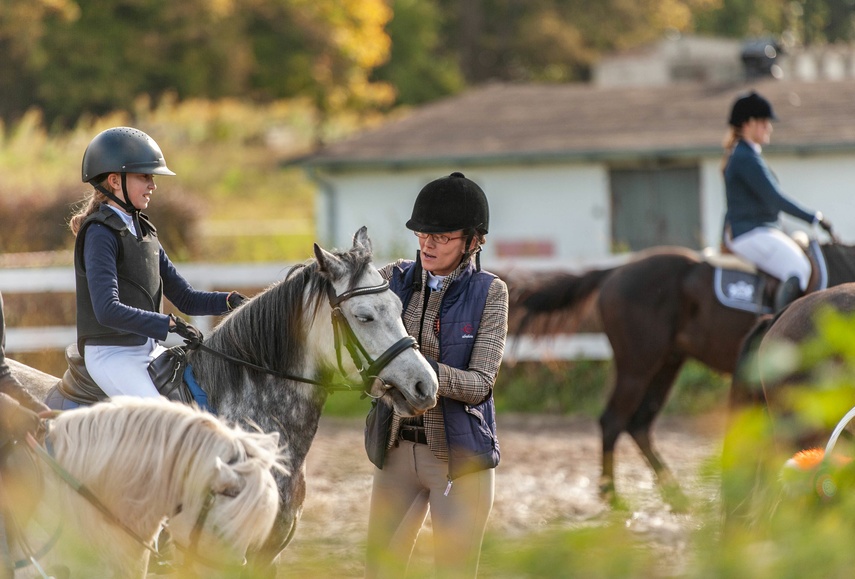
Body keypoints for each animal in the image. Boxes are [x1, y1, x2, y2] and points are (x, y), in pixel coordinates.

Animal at [512, 238, 855, 510]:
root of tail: (615, 270)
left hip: (667, 364)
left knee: (639, 423)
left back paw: (675, 497)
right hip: (638, 364)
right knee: (614, 420)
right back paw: (614, 497)